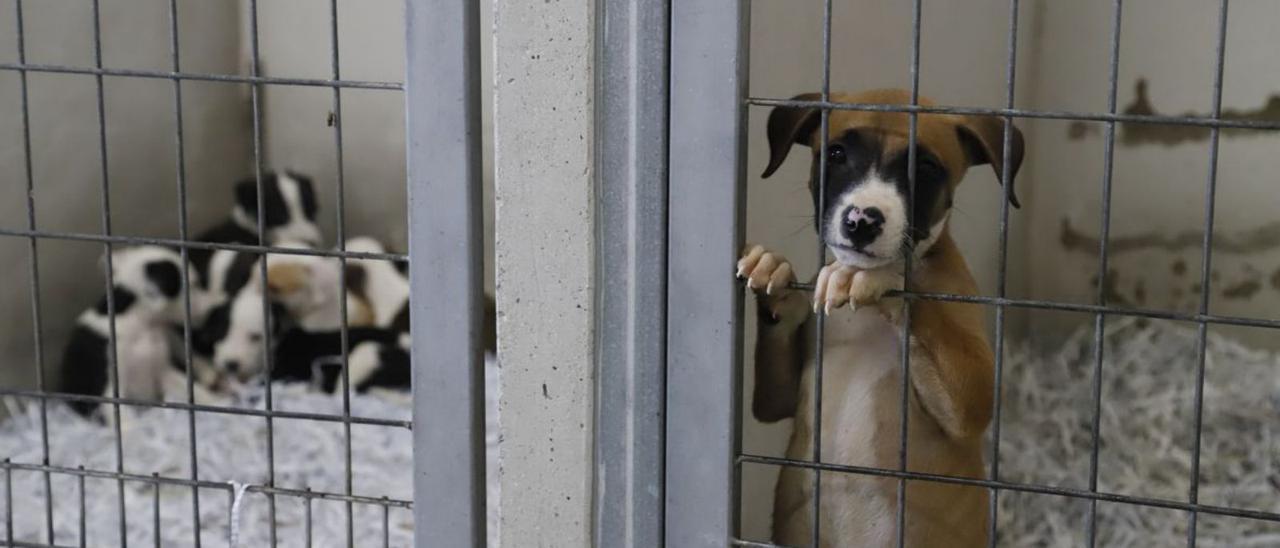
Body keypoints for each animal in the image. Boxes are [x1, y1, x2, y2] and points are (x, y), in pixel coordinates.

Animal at [737, 87, 1024, 545]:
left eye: (925, 167)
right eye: (835, 153)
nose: (861, 220)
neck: (863, 319)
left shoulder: (972, 401)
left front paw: (871, 277)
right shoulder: (776, 399)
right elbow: (773, 394)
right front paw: (774, 273)